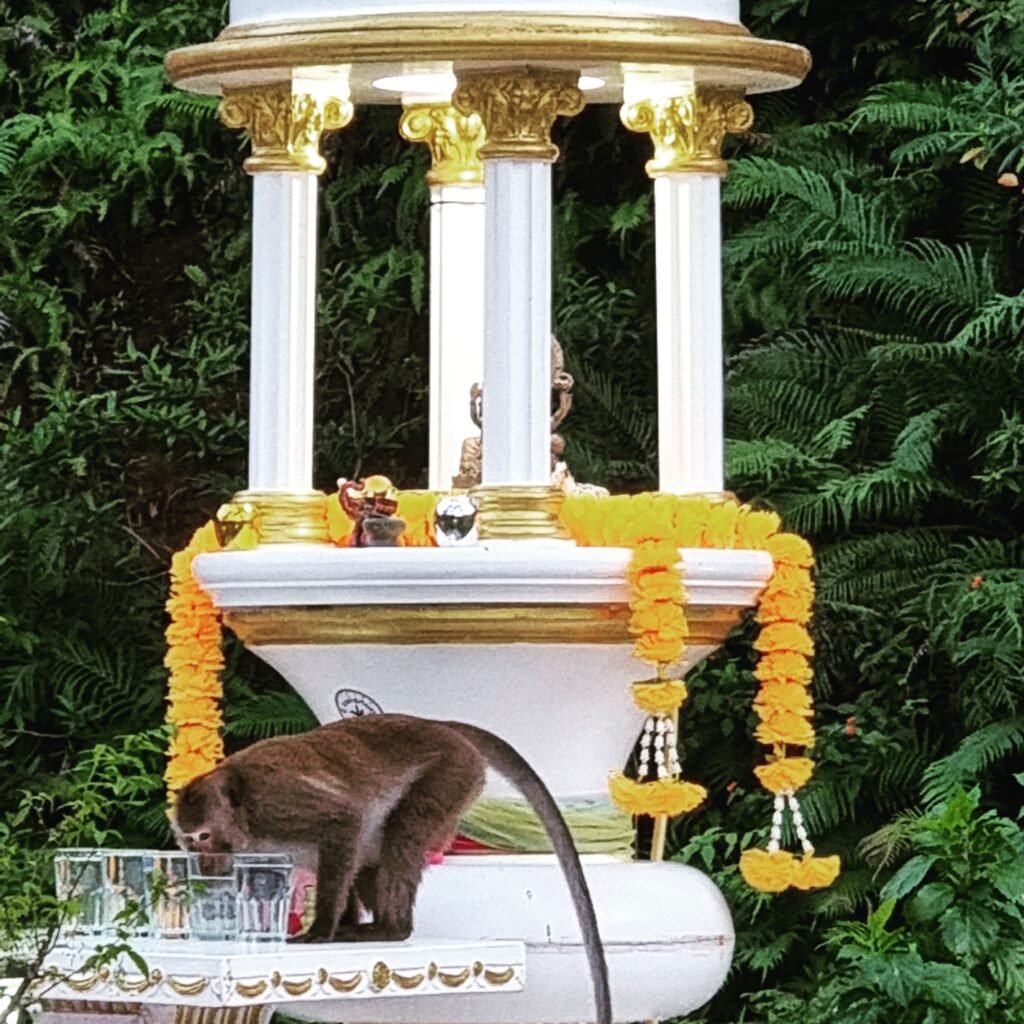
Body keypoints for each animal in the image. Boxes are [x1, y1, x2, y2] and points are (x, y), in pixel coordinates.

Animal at [173, 714, 612, 1024]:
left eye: (205, 836)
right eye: (189, 842)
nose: (204, 861)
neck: (244, 816)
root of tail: (439, 724)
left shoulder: (276, 802)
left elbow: (342, 820)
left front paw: (322, 930)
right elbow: (339, 852)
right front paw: (340, 922)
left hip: (452, 772)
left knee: (398, 835)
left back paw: (392, 928)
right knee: (371, 852)